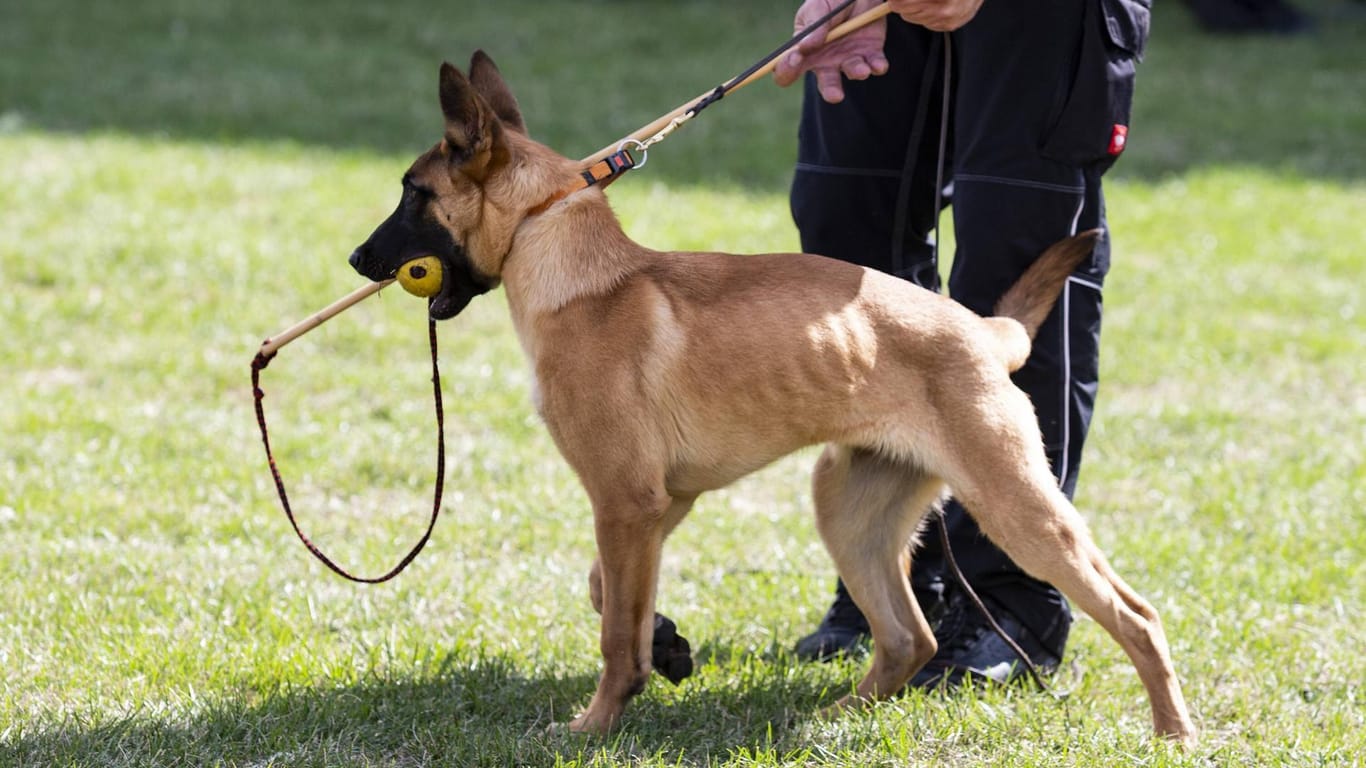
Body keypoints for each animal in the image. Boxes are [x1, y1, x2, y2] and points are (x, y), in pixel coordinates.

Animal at [349, 52, 1196, 743]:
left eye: (412, 194)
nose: (357, 258)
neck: (570, 261)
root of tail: (986, 332)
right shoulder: (658, 502)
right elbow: (607, 593)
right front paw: (665, 645)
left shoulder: (627, 501)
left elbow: (613, 633)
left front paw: (597, 723)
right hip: (850, 510)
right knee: (907, 638)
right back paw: (839, 717)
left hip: (1018, 510)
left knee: (1137, 615)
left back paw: (1173, 731)